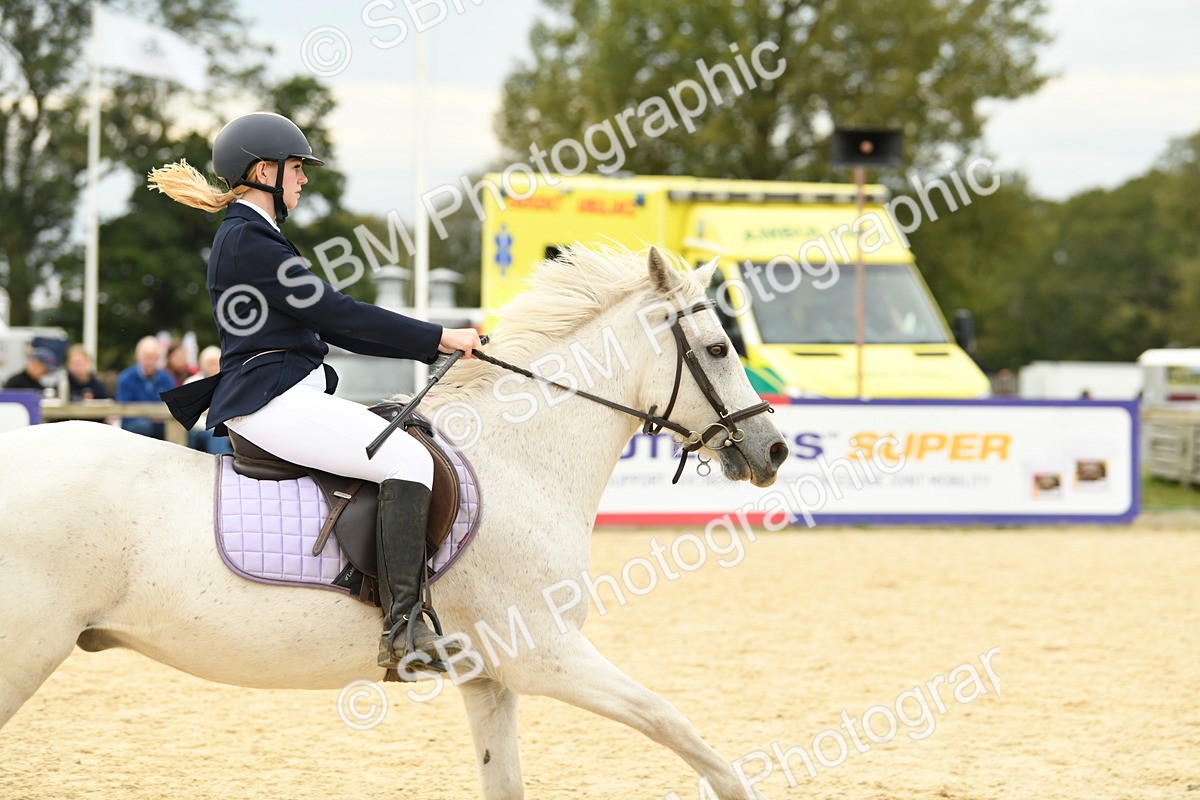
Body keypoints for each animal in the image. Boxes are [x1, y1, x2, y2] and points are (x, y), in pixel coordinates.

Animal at [0, 246, 788, 799]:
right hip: (24, 651)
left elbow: (508, 782)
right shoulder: (545, 654)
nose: (773, 449)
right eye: (718, 349)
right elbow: (671, 719)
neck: (519, 461)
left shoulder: (490, 675)